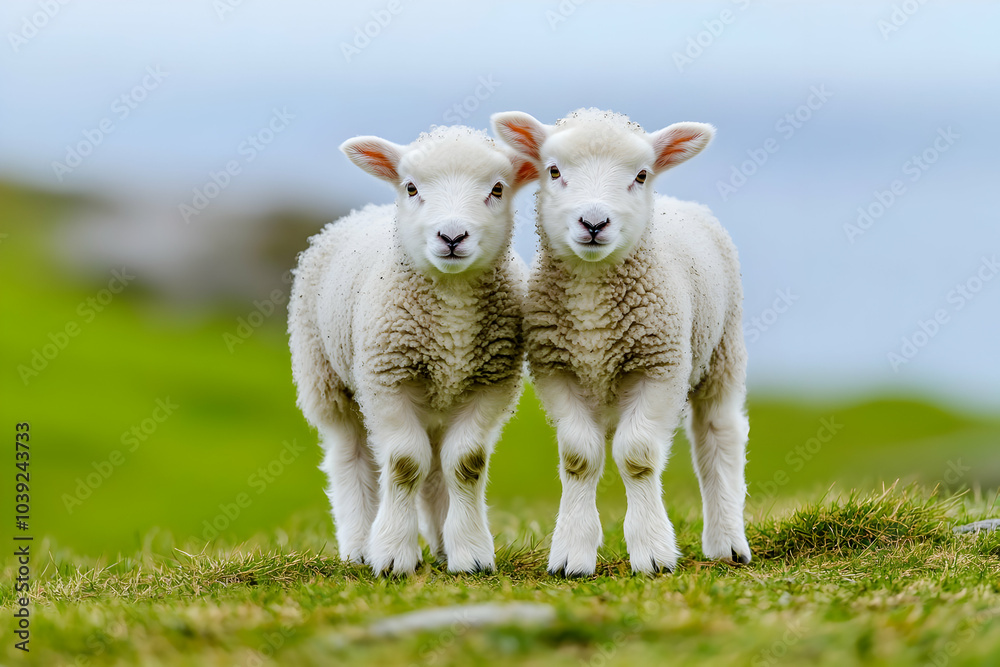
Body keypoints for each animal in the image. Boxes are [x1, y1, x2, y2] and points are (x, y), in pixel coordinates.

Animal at [287, 126, 536, 576]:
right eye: (411, 187)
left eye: (497, 189)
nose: (452, 237)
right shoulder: (387, 379)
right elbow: (404, 463)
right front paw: (392, 555)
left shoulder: (491, 382)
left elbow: (466, 462)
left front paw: (470, 554)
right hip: (326, 379)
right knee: (351, 457)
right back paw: (358, 546)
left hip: (438, 397)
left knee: (437, 466)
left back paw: (441, 545)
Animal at [491, 108, 751, 577]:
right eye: (553, 170)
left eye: (641, 175)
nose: (594, 223)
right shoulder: (557, 370)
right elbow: (579, 458)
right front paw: (572, 554)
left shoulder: (660, 367)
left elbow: (638, 456)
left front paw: (652, 553)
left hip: (722, 348)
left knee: (718, 437)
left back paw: (727, 541)